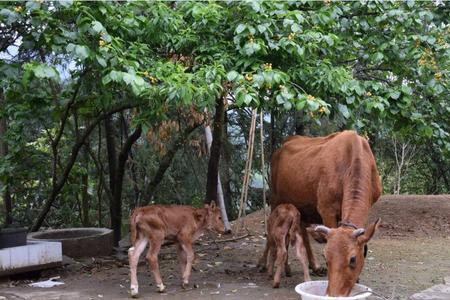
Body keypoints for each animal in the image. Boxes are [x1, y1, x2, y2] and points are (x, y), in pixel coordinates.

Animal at [262, 130, 382, 296]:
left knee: (301, 231)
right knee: (273, 233)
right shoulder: (326, 209)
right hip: (275, 198)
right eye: (326, 257)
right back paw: (268, 267)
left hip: (302, 206)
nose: (334, 294)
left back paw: (308, 267)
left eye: (353, 259)